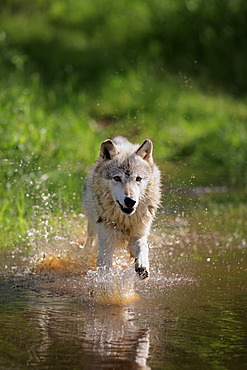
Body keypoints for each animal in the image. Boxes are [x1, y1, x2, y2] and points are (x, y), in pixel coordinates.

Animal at [82, 136, 161, 278]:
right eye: (117, 178)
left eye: (138, 178)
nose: (130, 201)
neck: (125, 220)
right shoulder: (106, 241)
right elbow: (105, 264)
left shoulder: (139, 233)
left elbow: (143, 246)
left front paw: (142, 265)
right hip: (92, 226)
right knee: (90, 241)